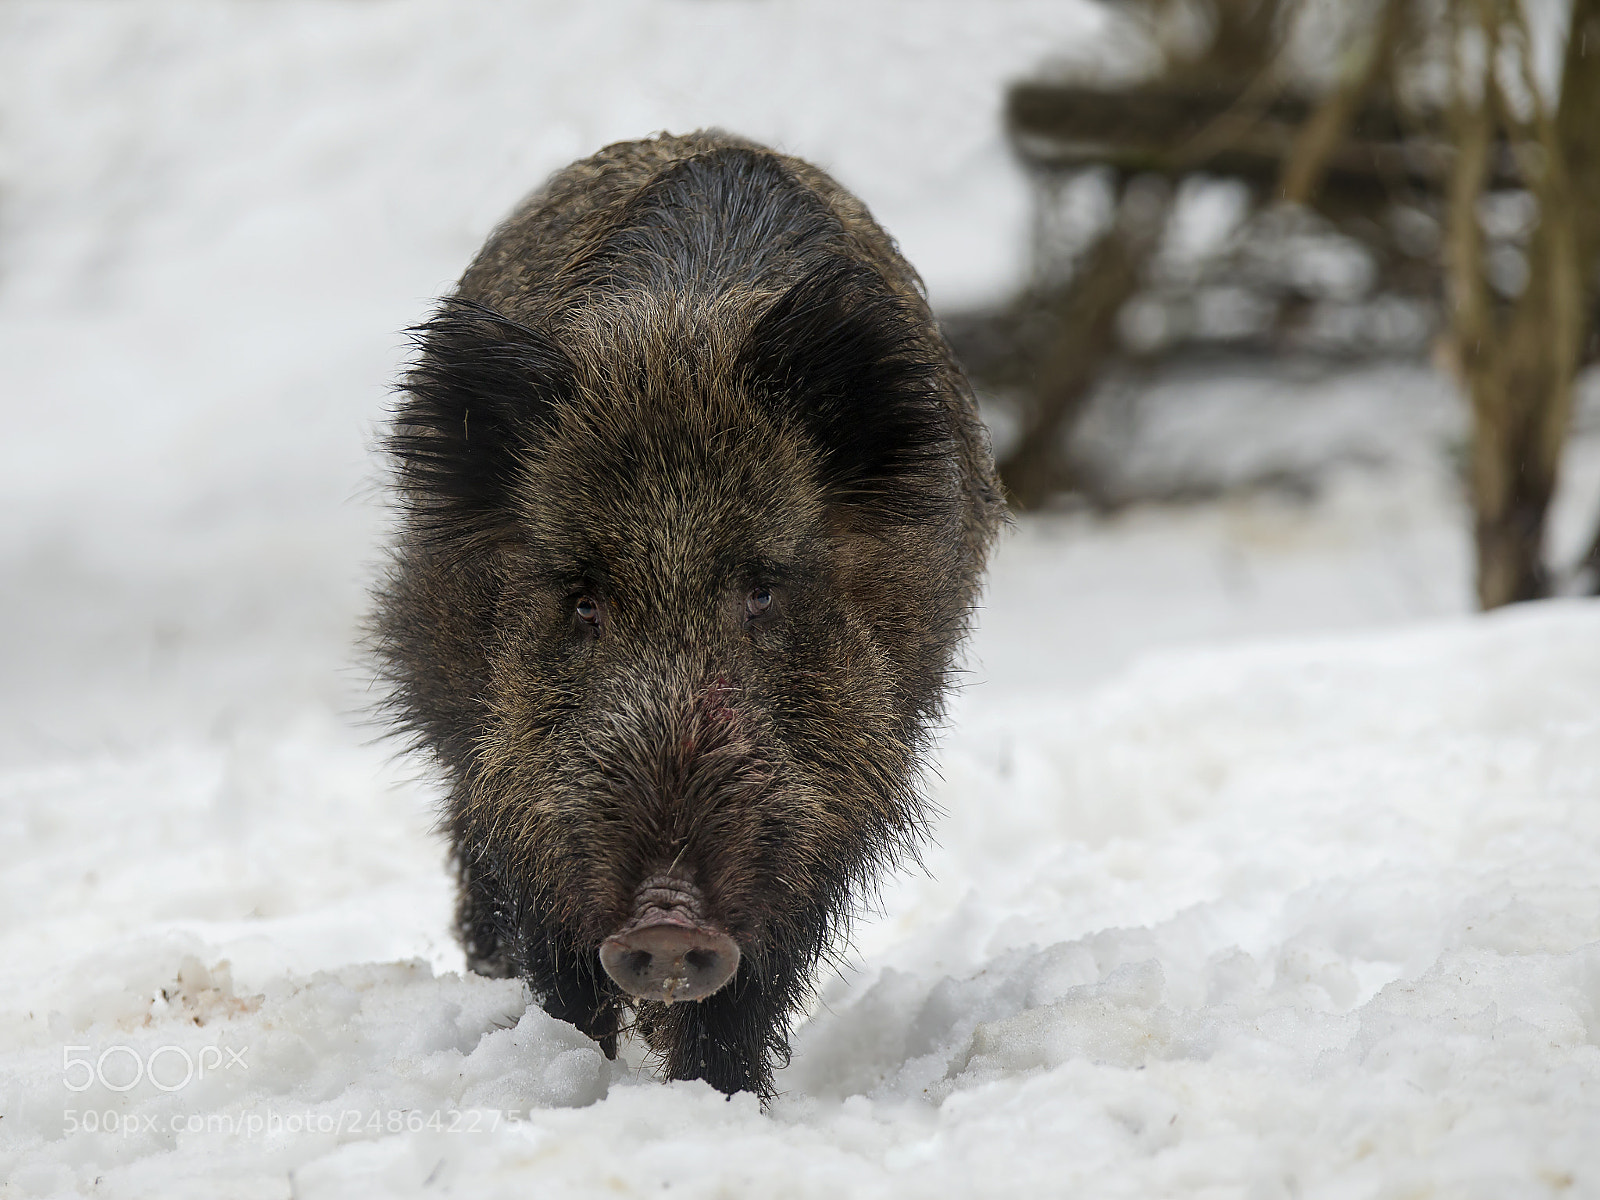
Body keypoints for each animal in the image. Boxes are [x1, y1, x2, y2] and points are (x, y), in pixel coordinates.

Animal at [373, 131, 1001, 1098]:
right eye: (584, 600)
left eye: (763, 589)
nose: (667, 922)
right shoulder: (525, 792)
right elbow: (560, 958)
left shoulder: (838, 794)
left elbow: (755, 981)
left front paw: (720, 1102)